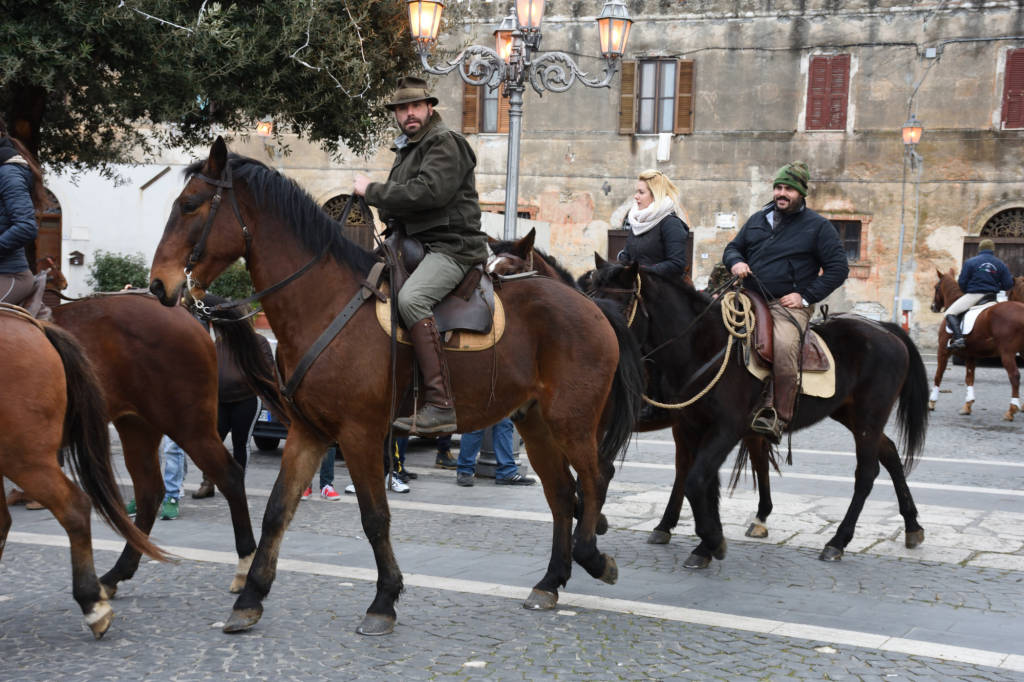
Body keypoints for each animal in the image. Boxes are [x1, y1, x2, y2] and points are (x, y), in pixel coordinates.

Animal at [50, 292, 264, 593]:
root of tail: (185, 311)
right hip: (137, 426)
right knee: (149, 492)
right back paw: (118, 572)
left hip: (189, 428)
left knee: (230, 475)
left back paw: (245, 563)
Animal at [146, 140, 638, 634]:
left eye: (189, 205)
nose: (158, 285)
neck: (323, 302)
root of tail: (590, 306)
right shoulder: (308, 432)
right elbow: (276, 511)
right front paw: (251, 596)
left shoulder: (360, 433)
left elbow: (374, 517)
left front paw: (384, 599)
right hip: (536, 424)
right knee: (561, 495)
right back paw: (550, 581)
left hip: (572, 420)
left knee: (595, 479)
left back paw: (594, 558)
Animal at [585, 262, 929, 565]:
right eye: (589, 296)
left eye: (620, 302)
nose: (599, 343)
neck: (704, 346)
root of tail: (884, 329)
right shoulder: (692, 426)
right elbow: (701, 481)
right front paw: (705, 545)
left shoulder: (726, 429)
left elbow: (696, 480)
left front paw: (712, 541)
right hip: (852, 416)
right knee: (890, 453)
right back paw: (912, 525)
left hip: (870, 416)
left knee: (866, 474)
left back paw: (838, 541)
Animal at [929, 270, 1024, 419]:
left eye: (936, 287)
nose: (933, 307)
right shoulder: (970, 355)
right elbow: (969, 377)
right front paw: (967, 405)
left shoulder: (943, 350)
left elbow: (938, 375)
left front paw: (932, 402)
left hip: (1007, 353)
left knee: (1014, 376)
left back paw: (1011, 410)